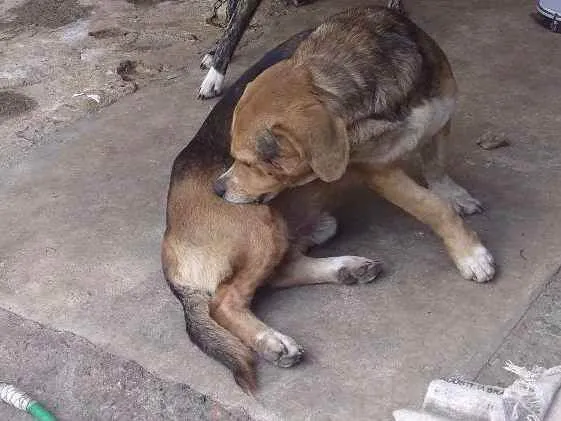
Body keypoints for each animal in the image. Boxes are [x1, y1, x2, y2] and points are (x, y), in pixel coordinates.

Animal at [214, 5, 494, 286]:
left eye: (251, 163)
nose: (217, 189)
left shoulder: (440, 117)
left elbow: (436, 167)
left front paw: (453, 196)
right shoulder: (379, 171)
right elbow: (433, 207)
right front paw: (470, 254)